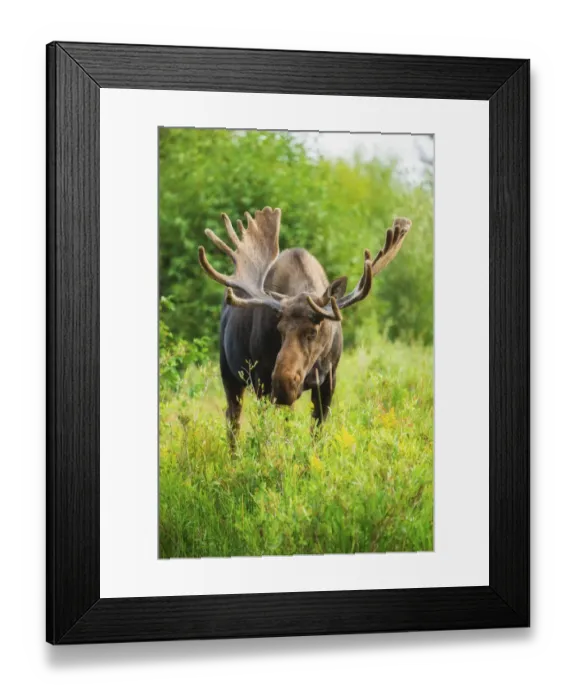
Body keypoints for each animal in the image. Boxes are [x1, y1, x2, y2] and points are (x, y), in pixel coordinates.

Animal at [198, 207, 412, 447]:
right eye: (279, 329)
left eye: (313, 332)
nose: (283, 383)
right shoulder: (263, 382)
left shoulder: (328, 381)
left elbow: (316, 432)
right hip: (230, 373)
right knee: (233, 420)